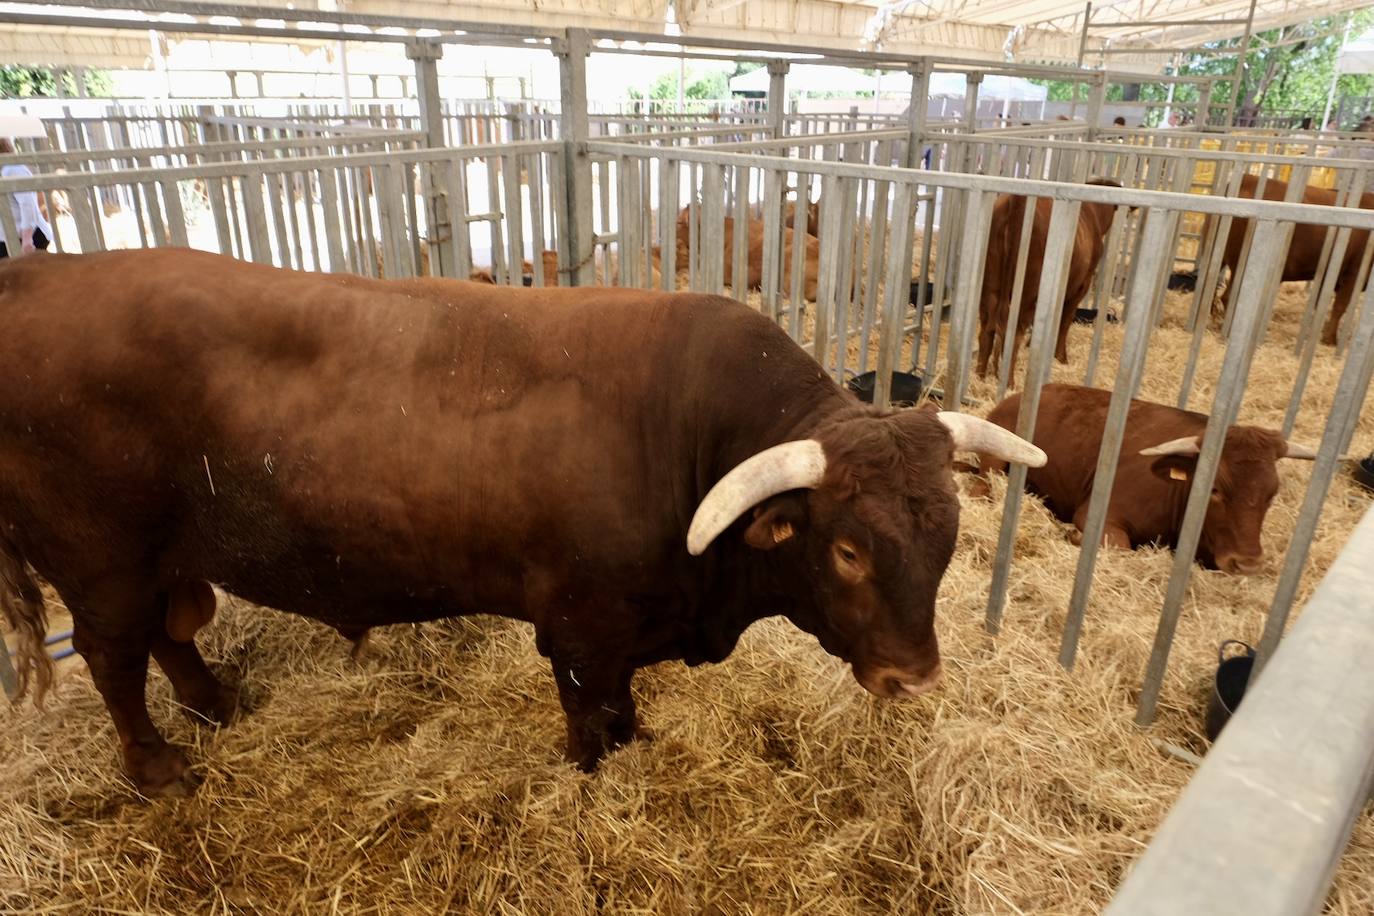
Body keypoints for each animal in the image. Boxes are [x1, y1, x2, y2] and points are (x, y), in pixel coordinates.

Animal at [0, 248, 1033, 796]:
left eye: (946, 539)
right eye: (848, 549)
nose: (914, 679)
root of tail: (36, 272)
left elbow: (624, 707)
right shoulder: (577, 629)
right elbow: (590, 714)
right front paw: (593, 775)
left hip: (161, 558)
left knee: (171, 636)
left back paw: (215, 704)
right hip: (100, 562)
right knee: (114, 659)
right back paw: (158, 767)